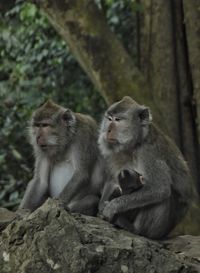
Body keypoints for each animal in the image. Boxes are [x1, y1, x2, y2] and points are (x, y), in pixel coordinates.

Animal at [97, 95, 195, 238]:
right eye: (109, 118)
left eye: (118, 120)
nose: (108, 130)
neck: (134, 144)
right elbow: (112, 181)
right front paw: (101, 207)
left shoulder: (148, 152)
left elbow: (159, 188)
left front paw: (112, 207)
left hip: (159, 230)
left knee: (163, 197)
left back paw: (133, 229)